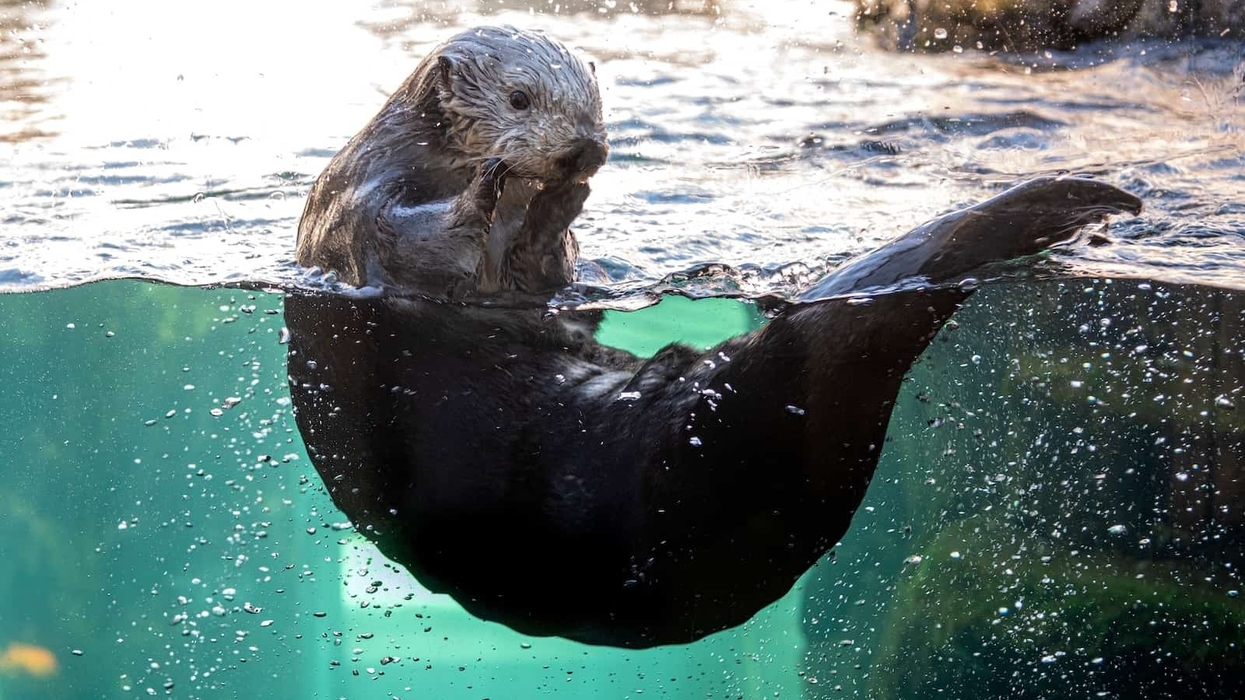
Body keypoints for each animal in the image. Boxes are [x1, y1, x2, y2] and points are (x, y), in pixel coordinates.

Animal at [296, 26, 608, 296]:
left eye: (597, 99)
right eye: (518, 98)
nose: (585, 147)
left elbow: (542, 273)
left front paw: (561, 201)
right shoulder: (361, 205)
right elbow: (408, 245)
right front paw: (486, 181)